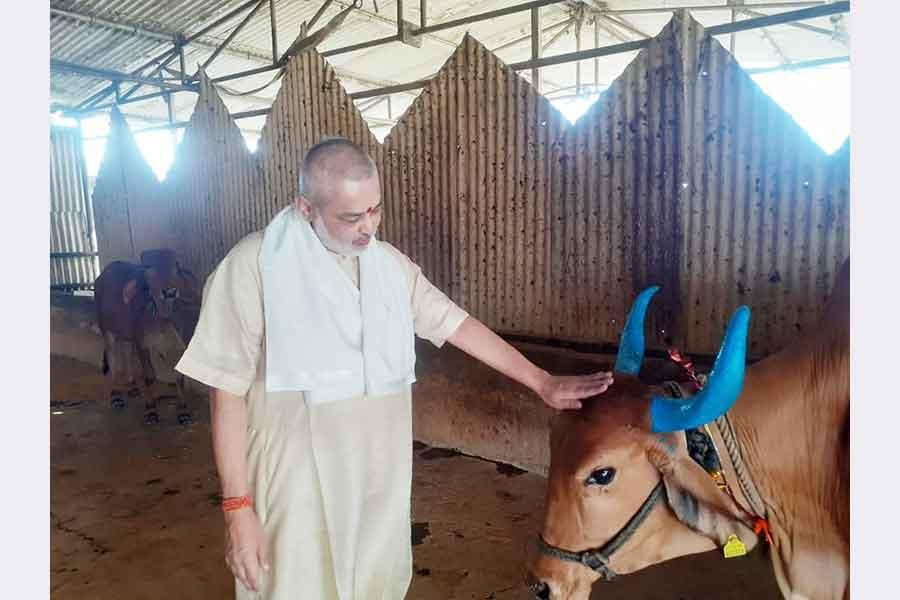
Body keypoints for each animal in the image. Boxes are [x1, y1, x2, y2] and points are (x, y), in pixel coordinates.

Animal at [94, 246, 200, 424]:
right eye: (149, 268)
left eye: (176, 266)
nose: (170, 292)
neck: (162, 319)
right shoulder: (142, 344)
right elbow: (149, 376)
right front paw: (151, 410)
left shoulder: (178, 345)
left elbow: (179, 376)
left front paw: (183, 411)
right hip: (107, 331)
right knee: (113, 359)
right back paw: (116, 395)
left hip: (127, 336)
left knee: (127, 354)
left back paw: (132, 386)